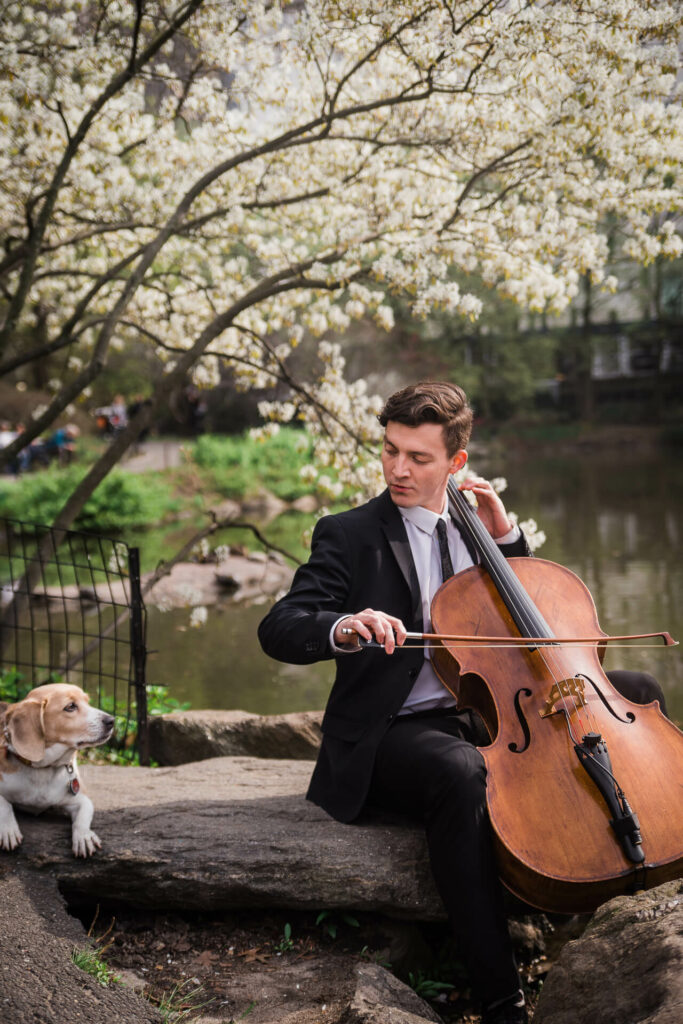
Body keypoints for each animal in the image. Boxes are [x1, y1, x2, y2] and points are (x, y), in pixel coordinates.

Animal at [0, 684, 114, 860]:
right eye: (70, 707)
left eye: (87, 701)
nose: (112, 721)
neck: (43, 769)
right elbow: (4, 805)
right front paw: (8, 830)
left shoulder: (81, 799)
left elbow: (82, 817)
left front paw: (84, 836)